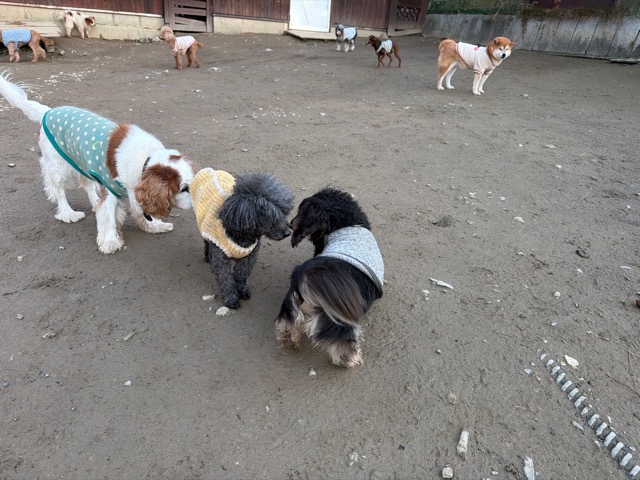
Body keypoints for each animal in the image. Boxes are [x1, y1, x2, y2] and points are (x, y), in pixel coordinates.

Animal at [0, 72, 196, 254]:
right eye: (184, 189)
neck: (145, 163)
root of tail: (47, 112)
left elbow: (140, 212)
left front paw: (154, 225)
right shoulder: (111, 190)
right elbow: (108, 215)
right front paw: (110, 241)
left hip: (82, 163)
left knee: (87, 186)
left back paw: (94, 201)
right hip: (58, 168)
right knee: (59, 192)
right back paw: (68, 213)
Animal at [190, 168, 294, 309]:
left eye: (283, 211)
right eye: (270, 216)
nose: (288, 232)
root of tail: (210, 170)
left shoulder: (250, 256)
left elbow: (241, 273)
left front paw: (242, 290)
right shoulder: (220, 258)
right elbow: (225, 279)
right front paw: (231, 298)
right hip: (204, 229)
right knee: (206, 242)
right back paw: (207, 256)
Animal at [274, 188, 384, 368]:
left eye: (301, 211)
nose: (290, 225)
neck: (347, 224)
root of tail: (303, 277)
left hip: (292, 306)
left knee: (289, 323)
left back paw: (292, 342)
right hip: (337, 319)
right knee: (341, 341)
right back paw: (351, 359)